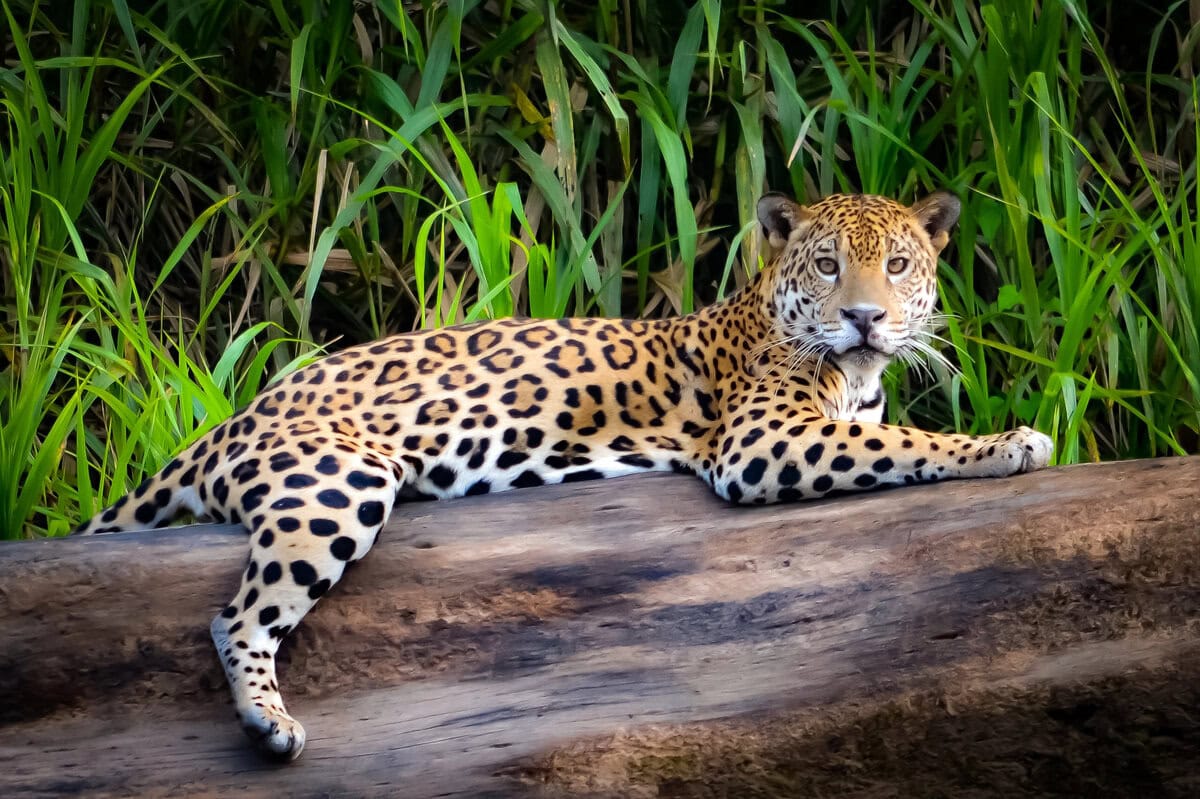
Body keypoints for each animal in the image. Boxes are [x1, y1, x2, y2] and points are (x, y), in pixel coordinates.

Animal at [73, 189, 1053, 761]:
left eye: (898, 264)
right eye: (827, 265)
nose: (864, 317)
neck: (851, 373)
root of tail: (240, 413)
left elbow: (893, 433)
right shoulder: (763, 440)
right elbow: (913, 443)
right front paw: (1009, 441)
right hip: (337, 479)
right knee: (236, 614)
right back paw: (269, 724)